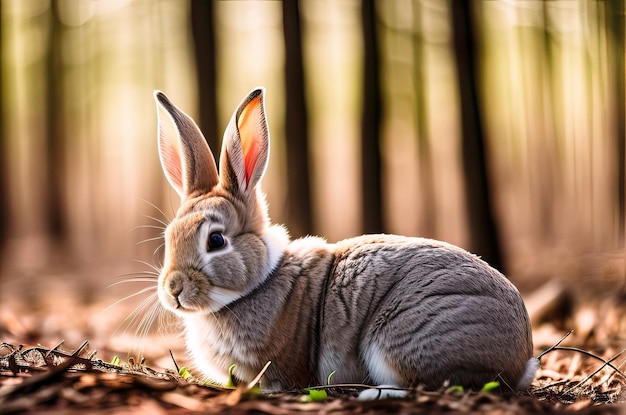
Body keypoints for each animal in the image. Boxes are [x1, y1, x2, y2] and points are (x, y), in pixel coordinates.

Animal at [152, 87, 536, 396]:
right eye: (169, 236)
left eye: (216, 240)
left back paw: (373, 395)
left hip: (402, 340)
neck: (256, 284)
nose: (174, 289)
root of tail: (522, 357)